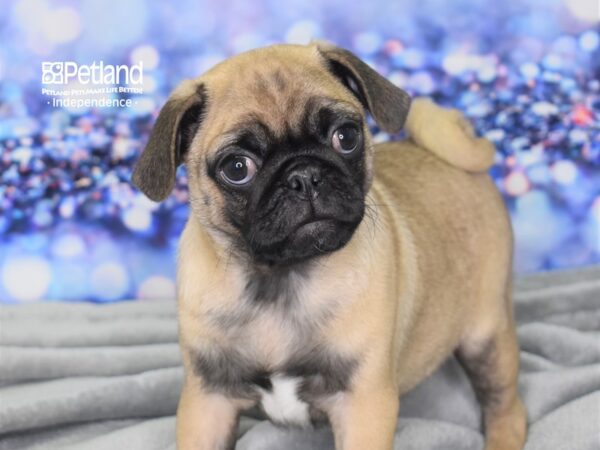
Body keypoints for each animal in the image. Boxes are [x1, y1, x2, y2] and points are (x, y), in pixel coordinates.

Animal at [131, 42, 524, 450]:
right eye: (237, 168)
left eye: (346, 137)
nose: (303, 175)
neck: (279, 280)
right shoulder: (208, 399)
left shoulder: (364, 404)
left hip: (487, 337)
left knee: (506, 406)